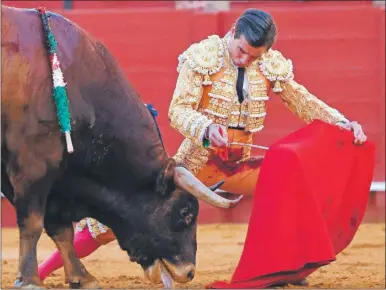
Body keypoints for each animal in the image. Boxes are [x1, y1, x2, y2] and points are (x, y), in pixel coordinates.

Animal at [0, 5, 241, 288]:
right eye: (185, 213)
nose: (189, 272)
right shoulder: (35, 164)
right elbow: (34, 222)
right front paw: (29, 279)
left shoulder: (56, 178)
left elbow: (60, 228)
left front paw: (82, 277)